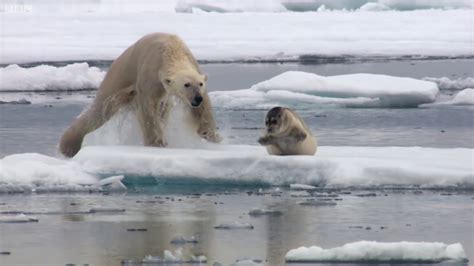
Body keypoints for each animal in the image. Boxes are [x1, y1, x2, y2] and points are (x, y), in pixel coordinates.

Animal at [59, 33, 222, 158]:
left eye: (200, 84)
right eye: (186, 85)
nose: (196, 98)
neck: (171, 50)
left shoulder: (192, 64)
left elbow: (203, 108)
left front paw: (212, 136)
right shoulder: (151, 73)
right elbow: (148, 108)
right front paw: (156, 143)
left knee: (164, 111)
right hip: (118, 77)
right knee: (99, 110)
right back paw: (68, 146)